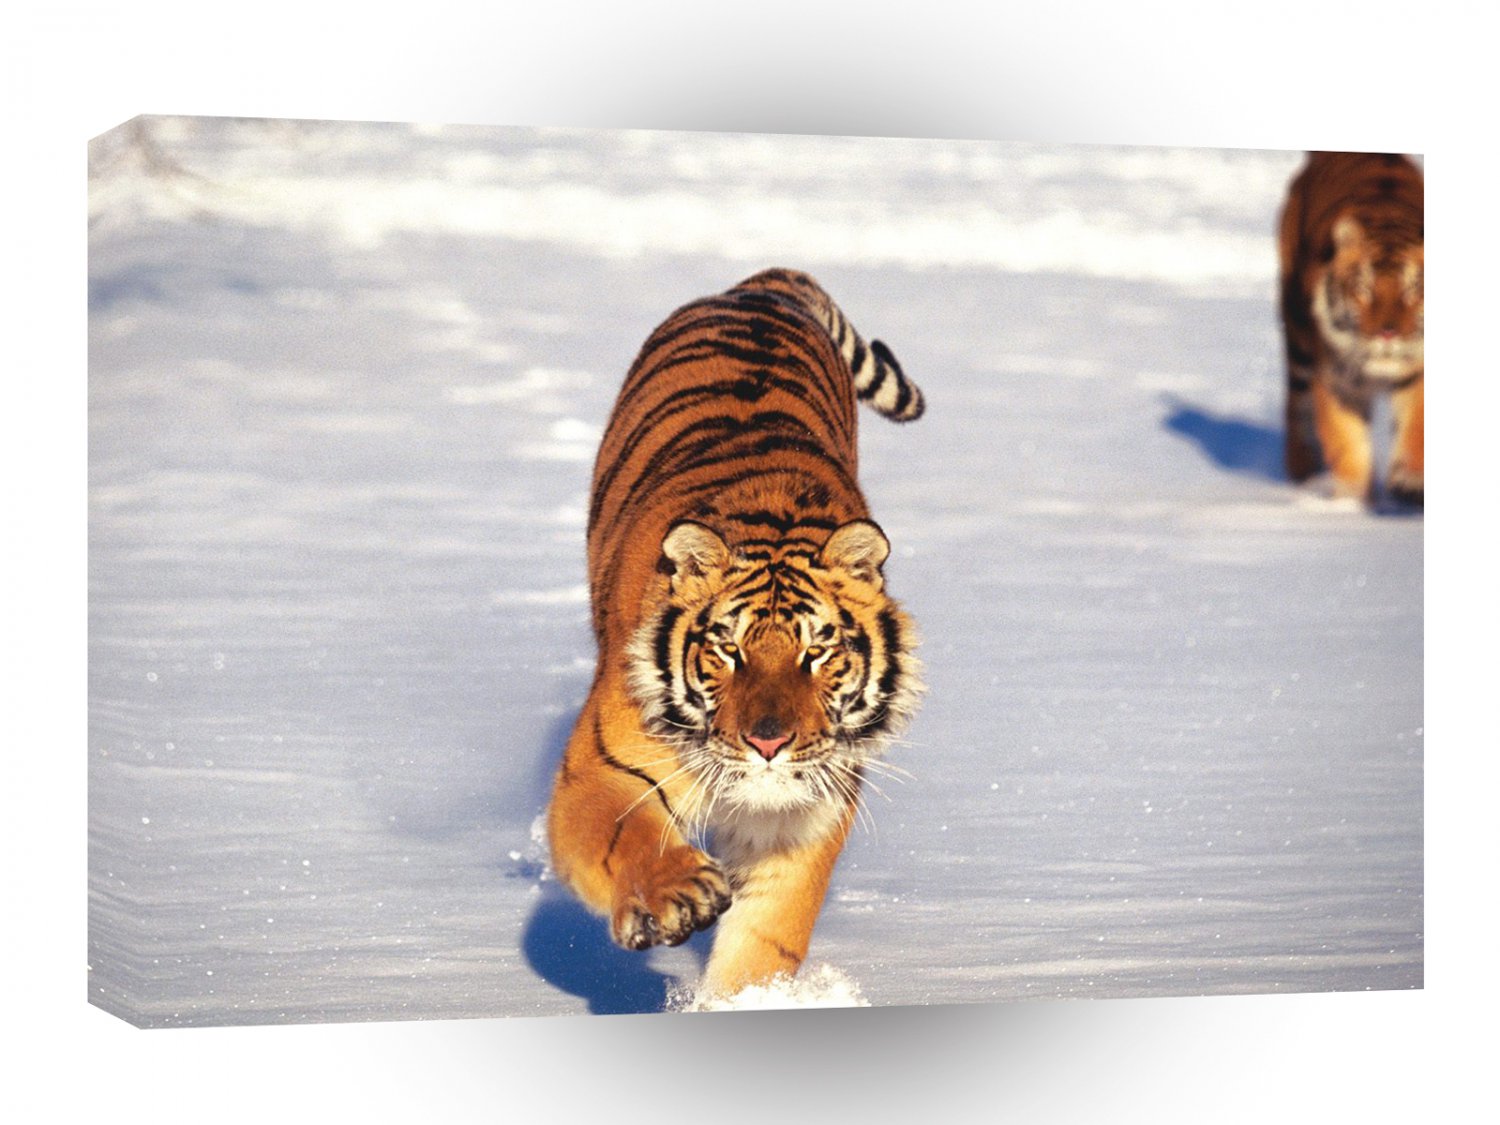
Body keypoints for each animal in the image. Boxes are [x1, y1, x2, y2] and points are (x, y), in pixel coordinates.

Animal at [545, 267, 924, 1002]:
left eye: (817, 651)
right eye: (728, 648)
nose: (768, 743)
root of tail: (762, 282)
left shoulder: (807, 815)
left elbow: (764, 943)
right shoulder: (599, 773)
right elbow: (623, 834)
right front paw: (674, 895)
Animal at [1277, 151, 1424, 505]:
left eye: (1412, 289)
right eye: (1364, 289)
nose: (1388, 333)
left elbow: (1417, 425)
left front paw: (1411, 480)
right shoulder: (1336, 381)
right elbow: (1348, 445)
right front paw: (1350, 505)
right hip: (1298, 336)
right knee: (1295, 402)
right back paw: (1301, 470)